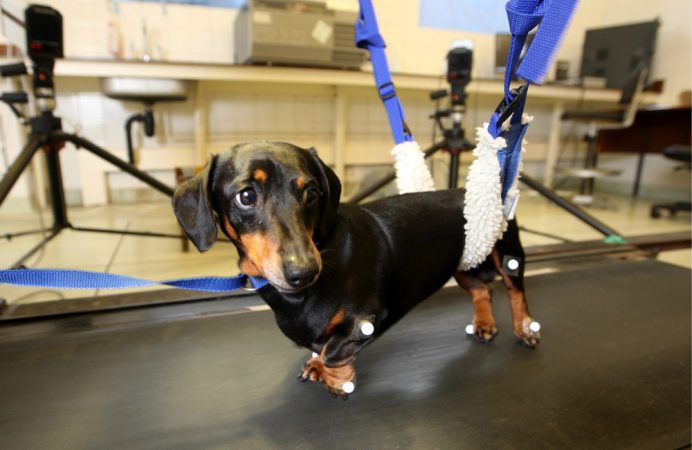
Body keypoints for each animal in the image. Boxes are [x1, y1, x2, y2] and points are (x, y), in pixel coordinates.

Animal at [173, 141, 540, 398]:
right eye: (246, 196)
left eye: (311, 192)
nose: (304, 271)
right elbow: (323, 347)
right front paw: (318, 365)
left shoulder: (368, 318)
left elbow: (334, 351)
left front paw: (337, 379)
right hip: (462, 262)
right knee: (481, 289)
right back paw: (485, 324)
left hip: (507, 252)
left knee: (515, 290)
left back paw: (524, 329)